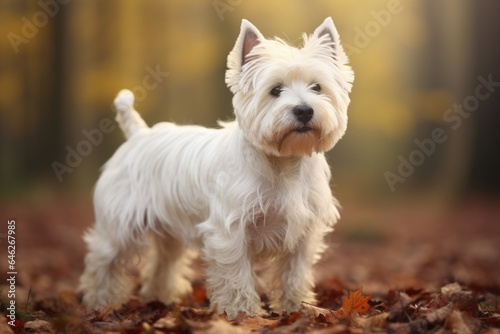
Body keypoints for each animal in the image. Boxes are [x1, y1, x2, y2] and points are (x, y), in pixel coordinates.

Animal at [80, 16, 354, 318]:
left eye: (317, 87)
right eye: (275, 90)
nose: (304, 110)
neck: (284, 162)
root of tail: (138, 134)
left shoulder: (303, 232)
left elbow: (294, 274)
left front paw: (296, 308)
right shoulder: (229, 230)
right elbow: (236, 275)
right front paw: (242, 313)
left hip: (169, 231)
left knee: (163, 262)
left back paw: (161, 297)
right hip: (119, 225)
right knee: (103, 262)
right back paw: (101, 302)